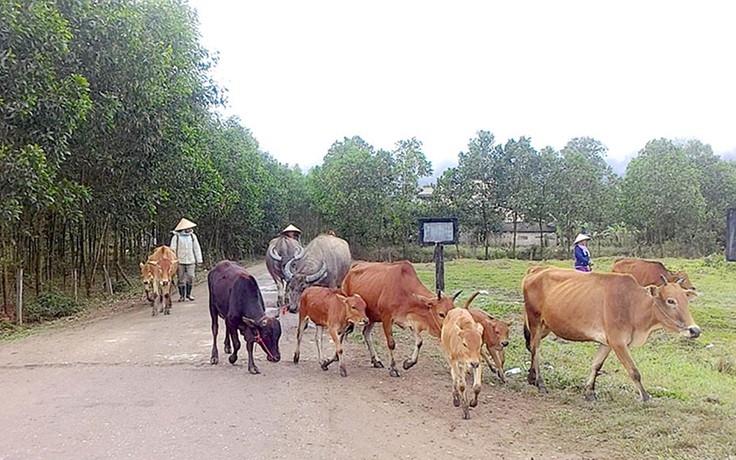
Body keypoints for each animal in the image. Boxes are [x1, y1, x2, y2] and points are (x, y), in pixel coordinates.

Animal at [520, 266, 700, 402]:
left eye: (686, 301)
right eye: (670, 301)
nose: (695, 330)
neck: (632, 305)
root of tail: (536, 269)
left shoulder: (607, 342)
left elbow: (596, 365)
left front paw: (590, 392)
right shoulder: (617, 342)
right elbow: (634, 371)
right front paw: (645, 397)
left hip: (546, 325)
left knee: (532, 347)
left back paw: (531, 378)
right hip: (535, 321)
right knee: (536, 349)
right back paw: (540, 382)